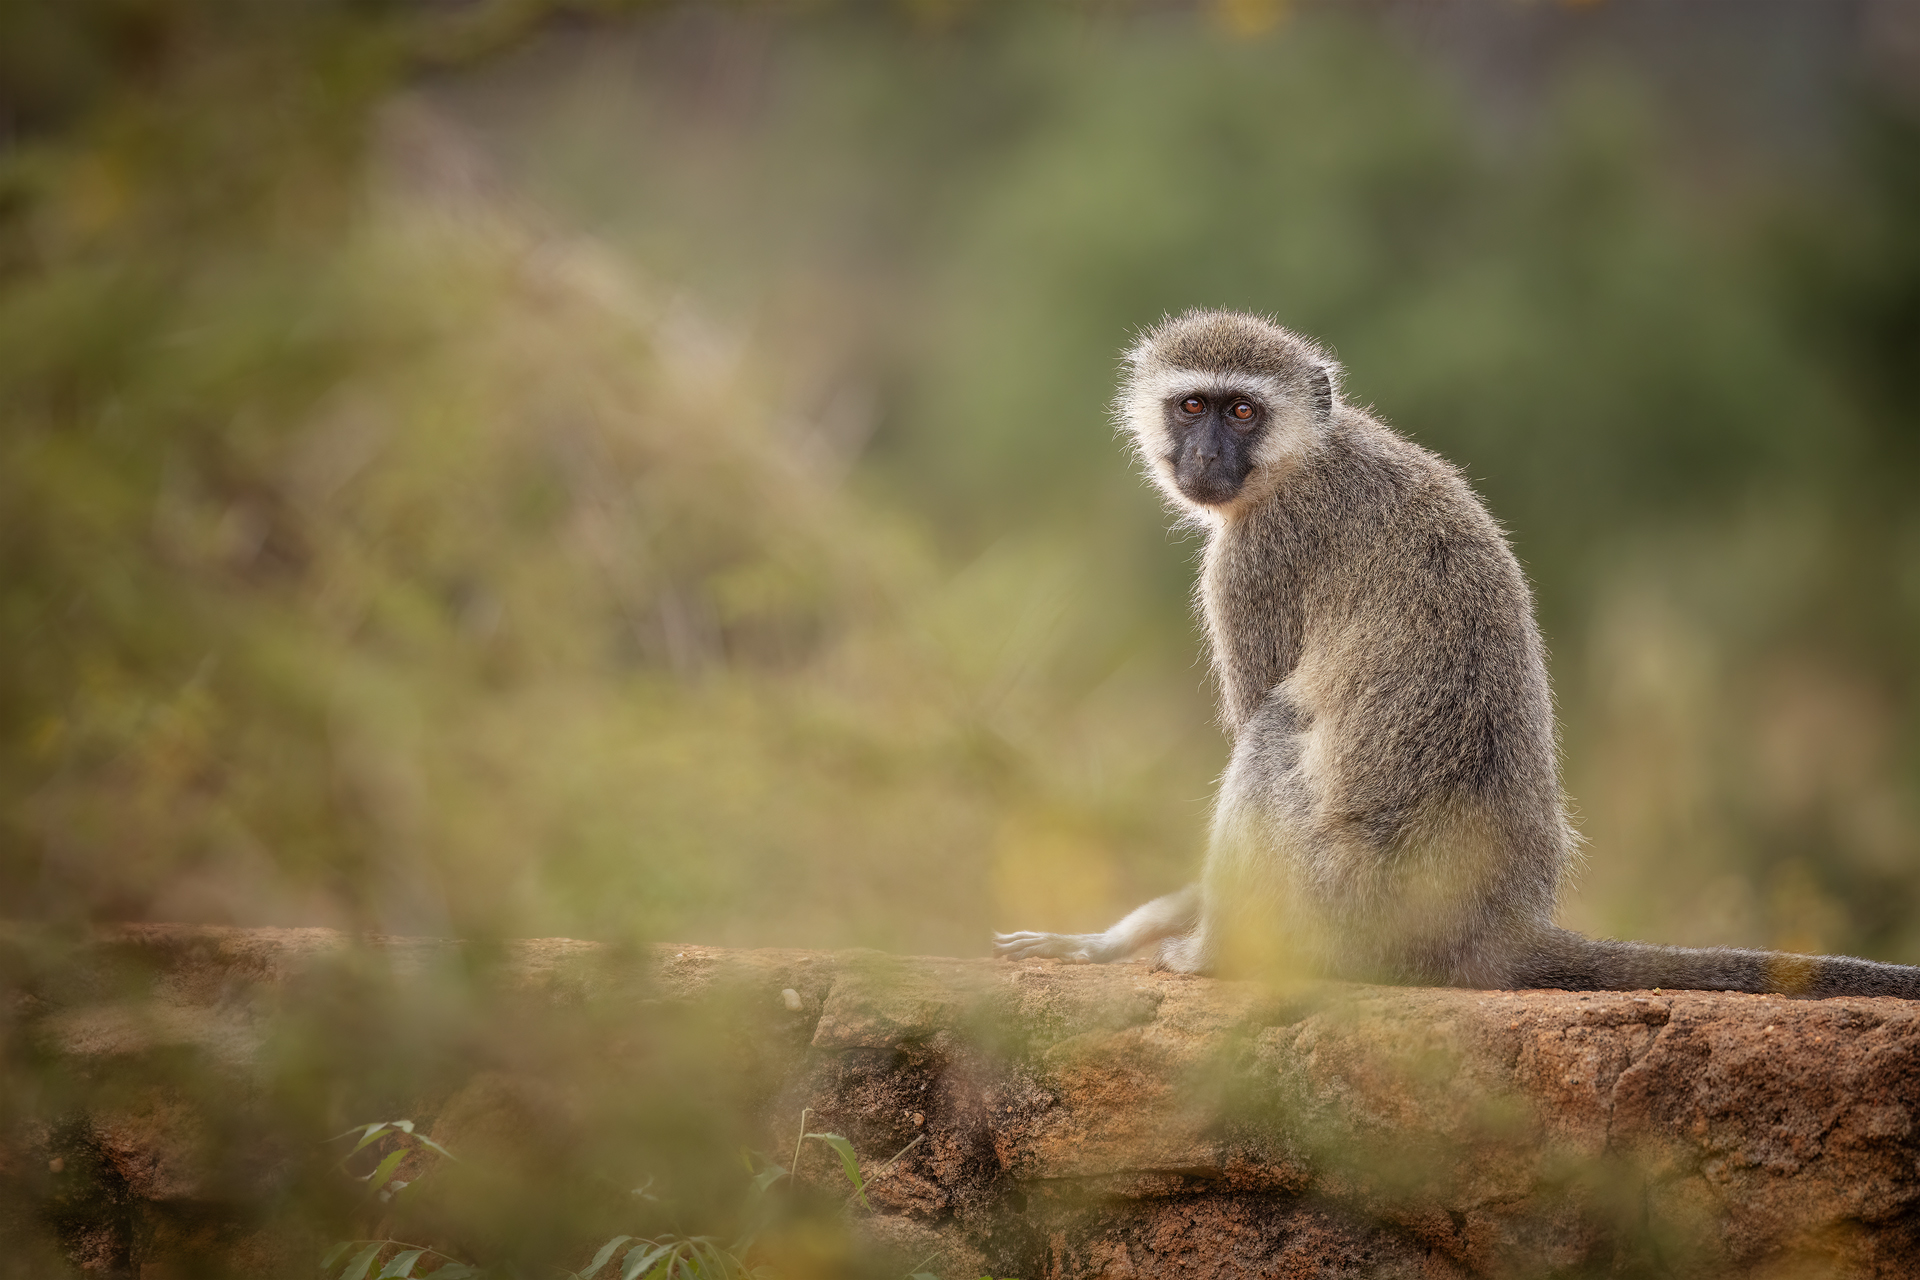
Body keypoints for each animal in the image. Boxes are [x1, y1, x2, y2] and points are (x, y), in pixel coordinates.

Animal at [995, 309, 1920, 999]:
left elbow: (1255, 708)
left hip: (1344, 898)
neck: (1308, 456)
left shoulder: (1254, 560)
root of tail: (1492, 923)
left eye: (1243, 412)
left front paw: (1154, 934)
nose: (1207, 457)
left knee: (1271, 729)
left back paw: (1216, 951)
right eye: (1193, 408)